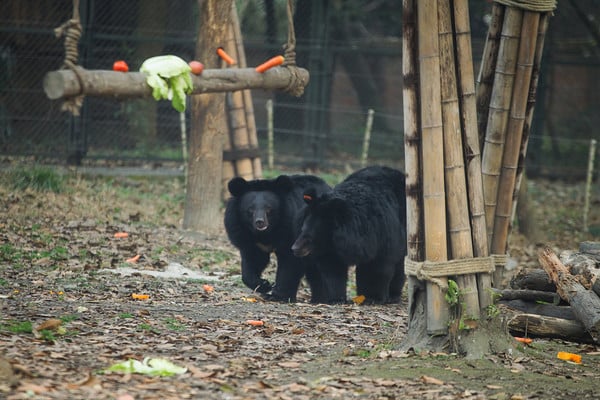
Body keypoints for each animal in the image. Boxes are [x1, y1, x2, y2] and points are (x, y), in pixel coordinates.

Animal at [223, 173, 330, 302]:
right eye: (250, 209)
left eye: (269, 209)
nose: (260, 222)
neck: (265, 233)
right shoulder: (246, 236)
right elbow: (252, 261)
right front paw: (264, 284)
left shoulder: (291, 231)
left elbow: (289, 264)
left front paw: (277, 295)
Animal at [292, 166, 408, 304]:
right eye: (302, 229)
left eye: (310, 235)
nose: (294, 248)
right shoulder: (330, 249)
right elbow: (331, 270)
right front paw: (334, 298)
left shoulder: (382, 234)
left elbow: (378, 265)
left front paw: (373, 298)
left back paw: (394, 295)